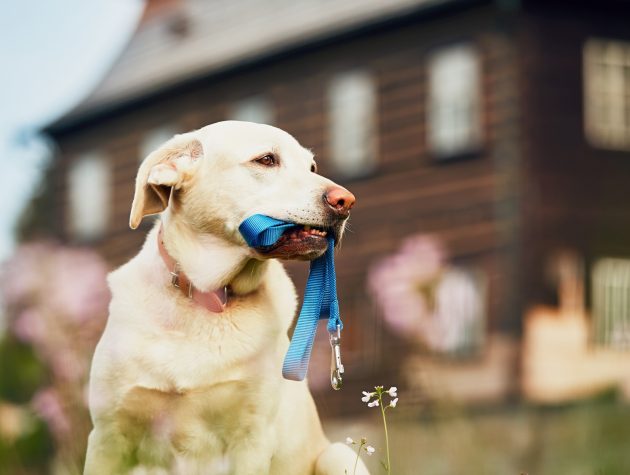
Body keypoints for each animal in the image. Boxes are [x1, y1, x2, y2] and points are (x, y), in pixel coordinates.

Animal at [85, 122, 370, 475]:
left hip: (337, 454)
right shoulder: (108, 435)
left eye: (312, 168)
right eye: (266, 159)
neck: (206, 295)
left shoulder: (252, 437)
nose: (346, 201)